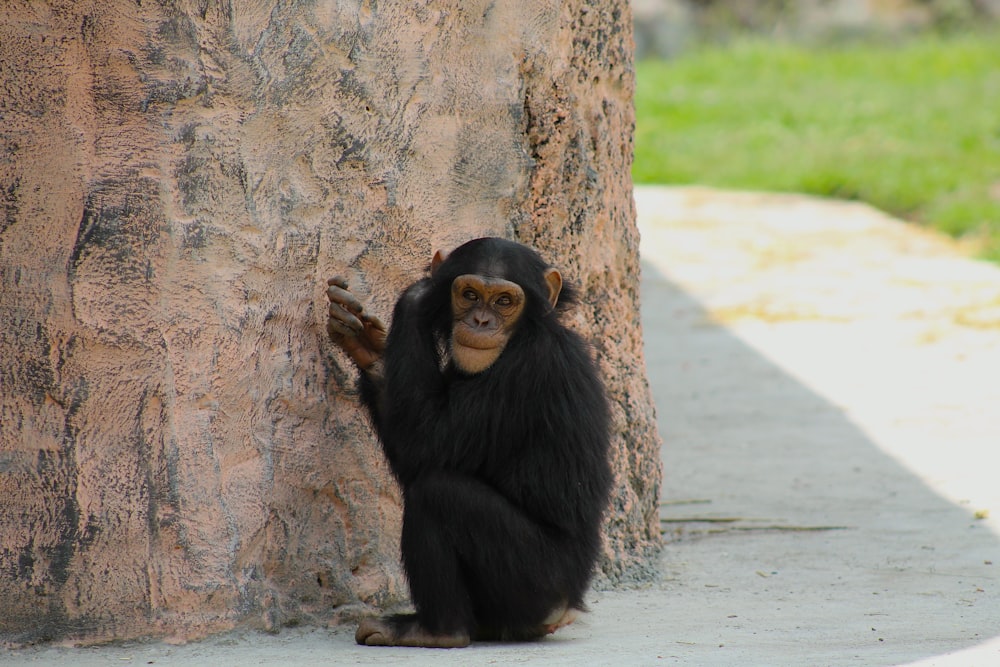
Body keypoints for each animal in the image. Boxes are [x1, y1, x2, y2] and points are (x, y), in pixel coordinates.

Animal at [326, 239, 608, 648]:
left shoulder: (527, 371)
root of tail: (567, 608)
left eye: (504, 301)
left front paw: (418, 295)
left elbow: (425, 443)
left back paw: (437, 630)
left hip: (536, 580)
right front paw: (369, 345)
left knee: (438, 492)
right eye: (470, 295)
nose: (481, 322)